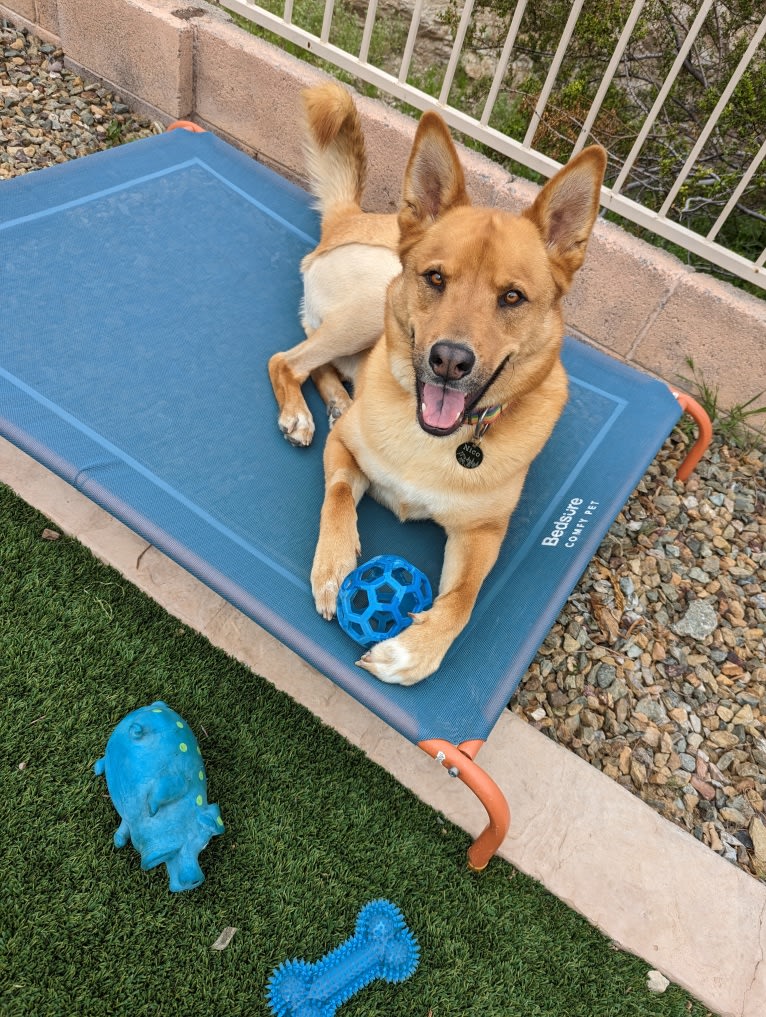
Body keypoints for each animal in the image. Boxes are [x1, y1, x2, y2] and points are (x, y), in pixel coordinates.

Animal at [268, 81, 602, 683]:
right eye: (436, 278)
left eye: (512, 297)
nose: (449, 360)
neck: (433, 439)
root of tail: (352, 219)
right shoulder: (345, 455)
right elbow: (336, 496)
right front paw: (334, 566)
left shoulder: (482, 535)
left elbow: (464, 600)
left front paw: (414, 652)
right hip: (368, 306)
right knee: (288, 359)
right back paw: (302, 412)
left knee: (315, 362)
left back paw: (334, 401)